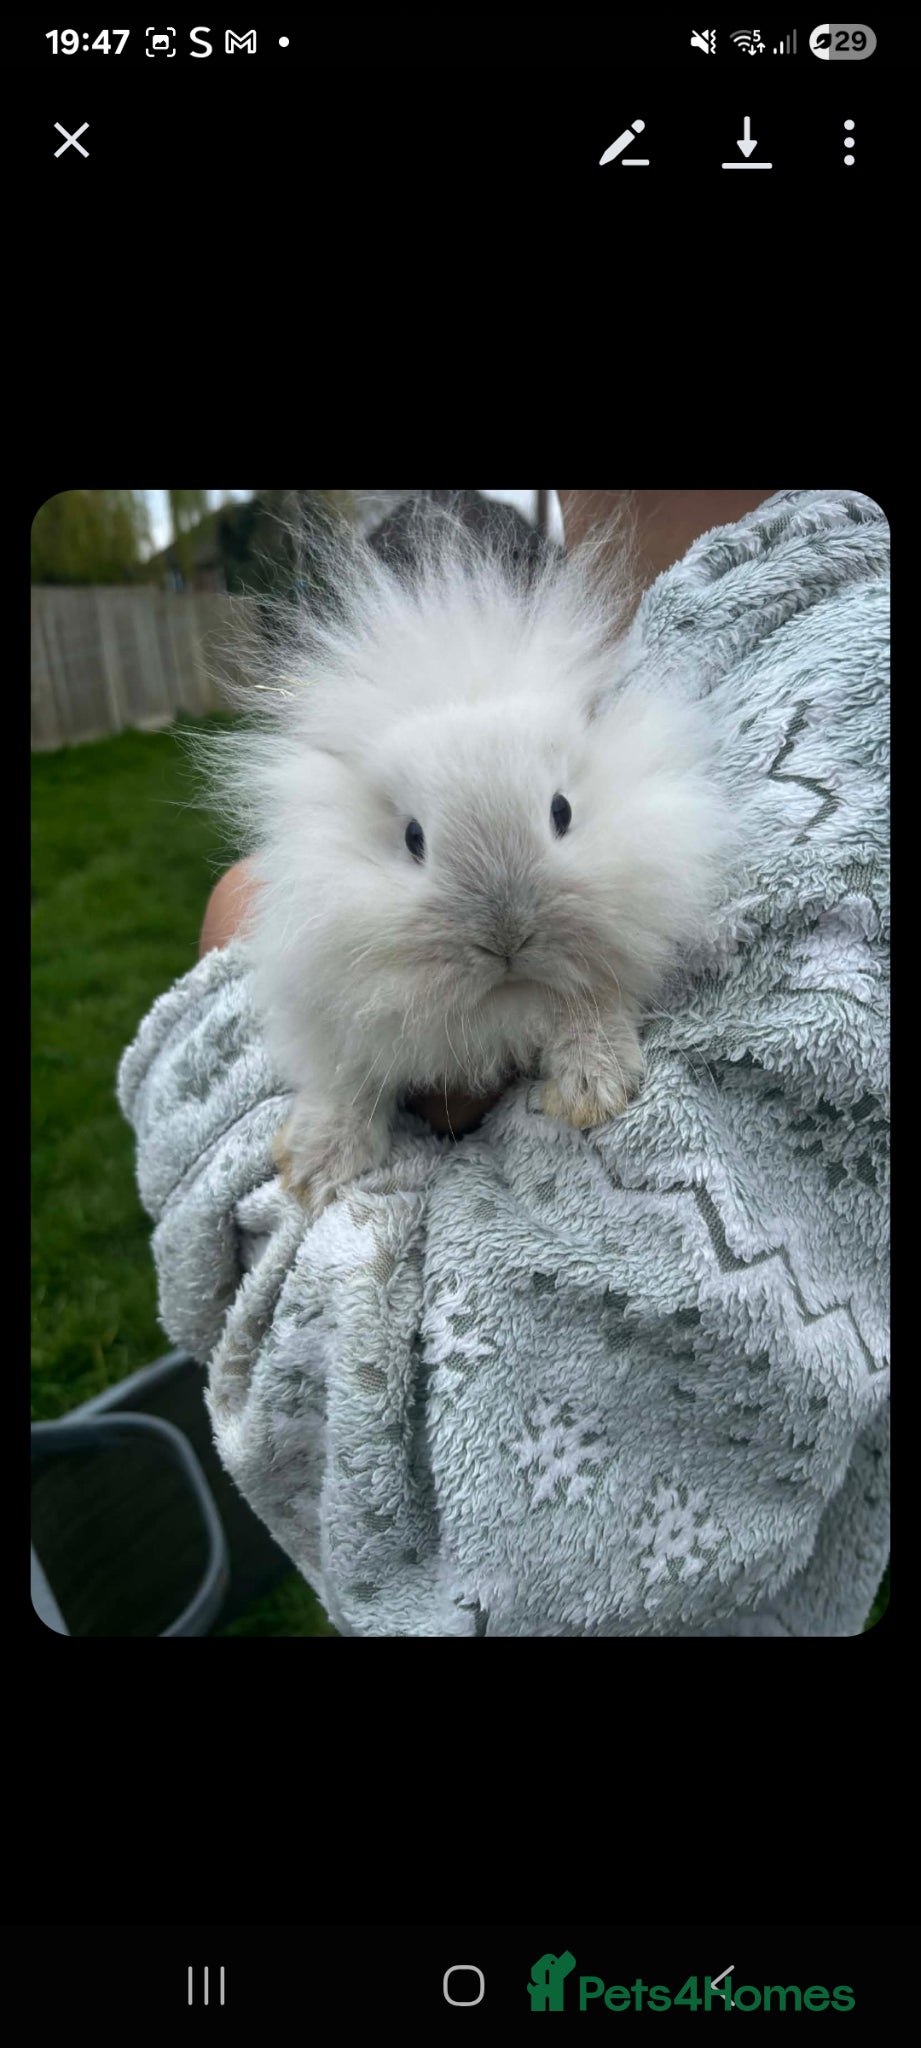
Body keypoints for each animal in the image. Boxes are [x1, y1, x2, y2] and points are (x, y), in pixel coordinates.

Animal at [193, 492, 739, 1218]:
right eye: (413, 839)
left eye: (561, 812)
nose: (505, 938)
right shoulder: (323, 996)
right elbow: (346, 1077)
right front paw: (317, 1162)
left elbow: (592, 1000)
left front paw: (594, 1086)